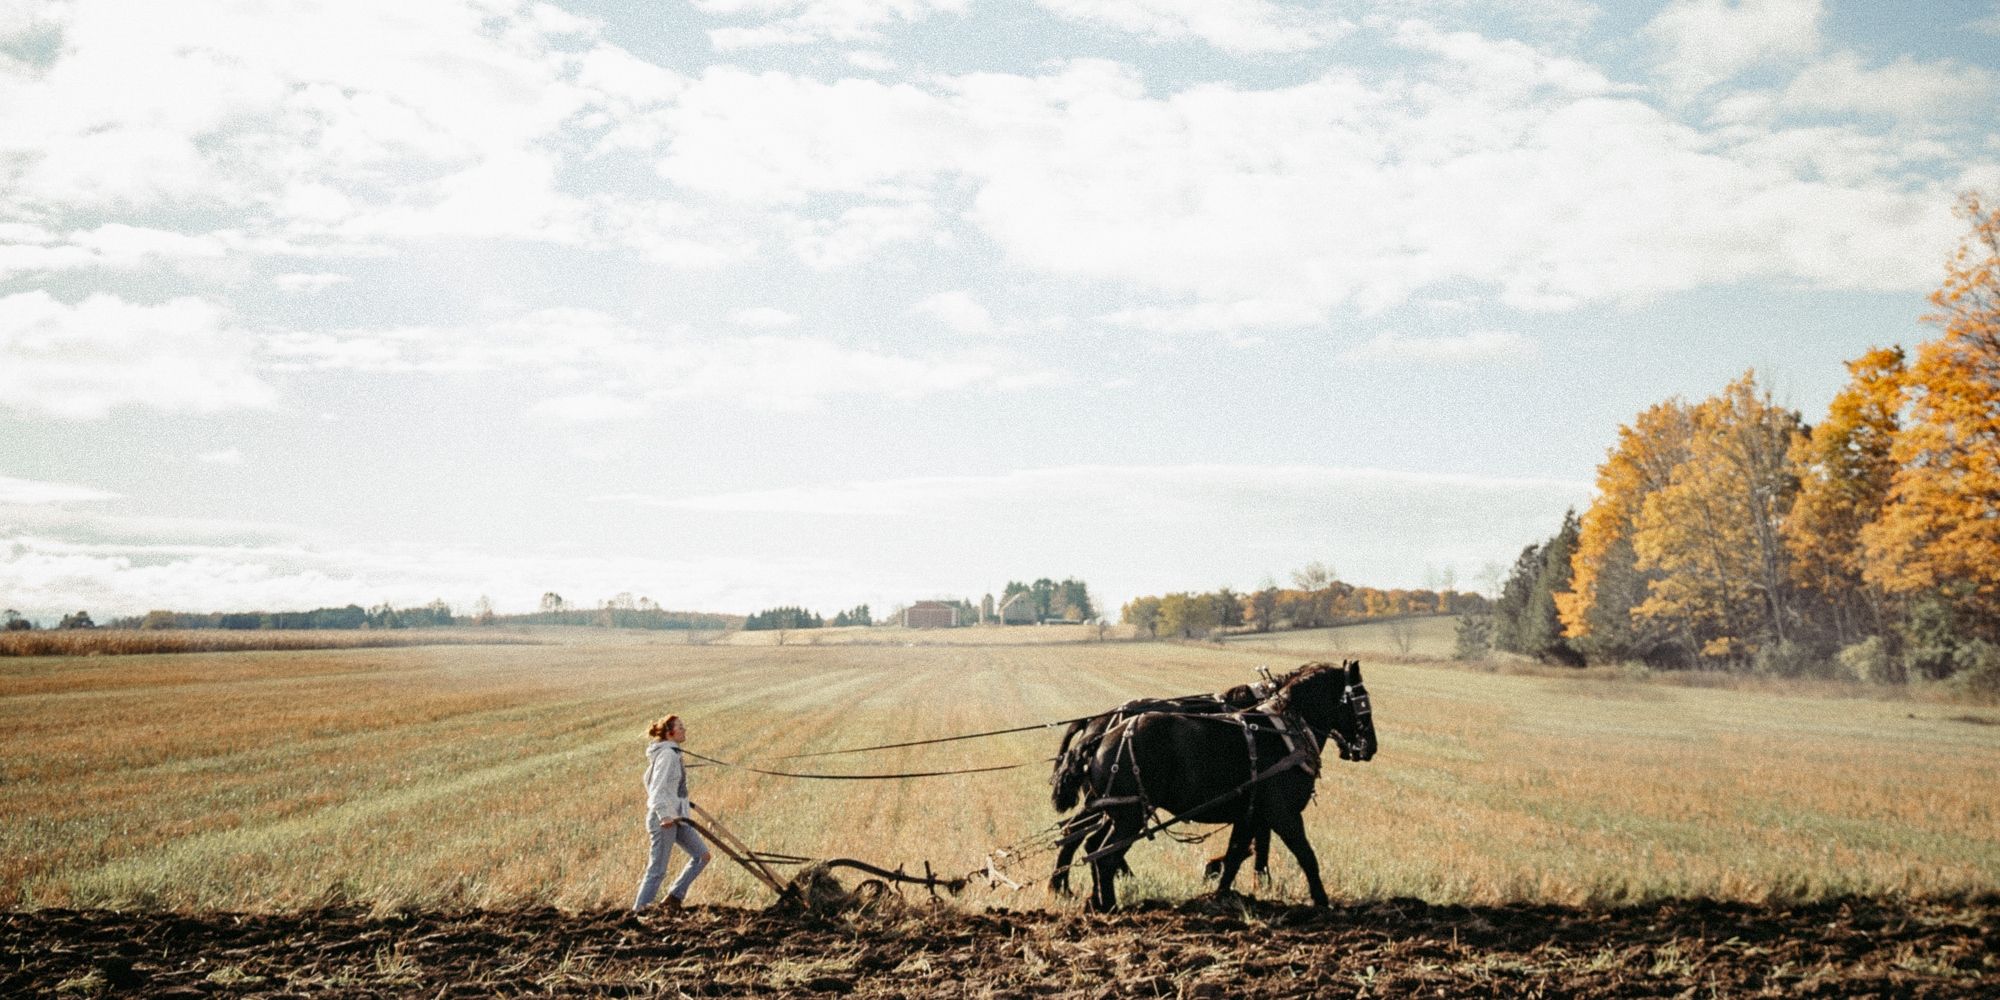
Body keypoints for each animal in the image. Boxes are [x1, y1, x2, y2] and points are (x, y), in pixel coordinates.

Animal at [1048, 660, 1376, 912]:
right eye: (1361, 702)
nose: (1370, 747)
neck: (1283, 731)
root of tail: (1101, 731)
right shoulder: (1283, 814)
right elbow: (1304, 855)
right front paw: (1321, 901)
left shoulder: (1250, 814)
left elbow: (1237, 854)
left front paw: (1221, 893)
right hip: (1128, 813)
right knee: (1102, 851)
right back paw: (1103, 902)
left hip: (1114, 808)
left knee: (1088, 842)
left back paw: (1087, 896)